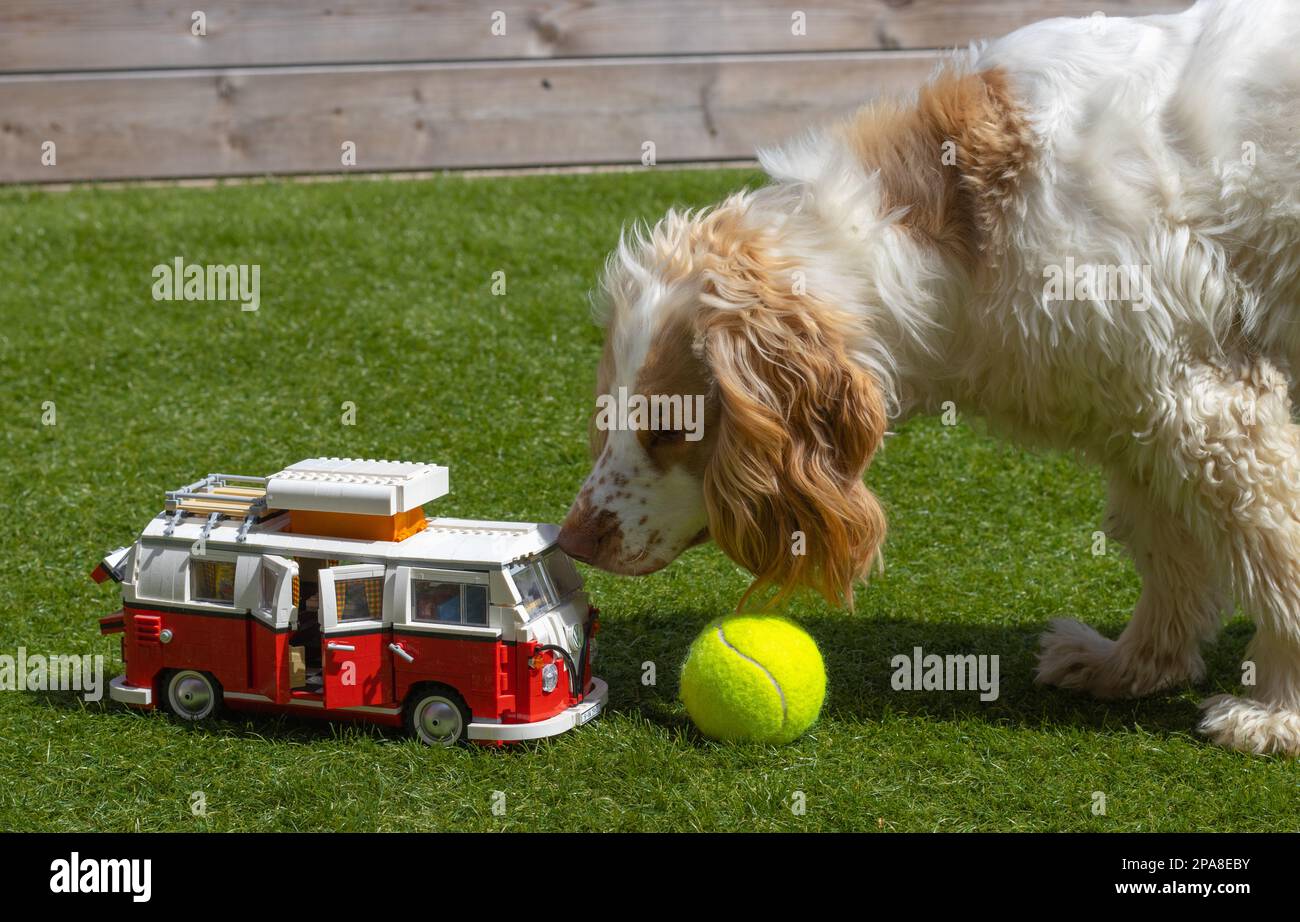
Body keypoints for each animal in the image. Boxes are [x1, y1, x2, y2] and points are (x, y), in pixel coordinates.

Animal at [559, 0, 1300, 754]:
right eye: (608, 416)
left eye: (670, 429)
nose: (572, 541)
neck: (959, 229)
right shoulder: (1136, 415)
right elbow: (1169, 554)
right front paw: (1130, 665)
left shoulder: (1209, 407)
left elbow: (1275, 553)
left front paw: (1275, 714)